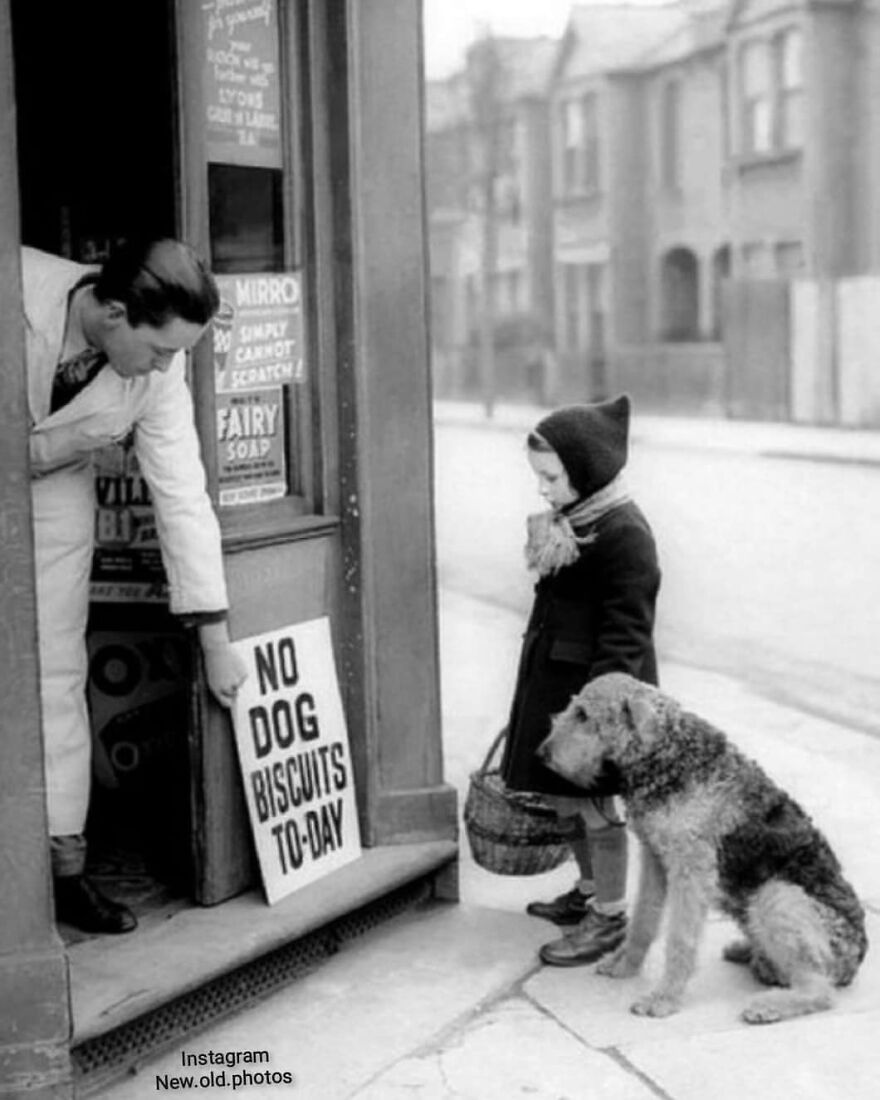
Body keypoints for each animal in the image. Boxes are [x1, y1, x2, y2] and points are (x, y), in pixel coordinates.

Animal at [536, 673, 866, 1025]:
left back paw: (768, 1005)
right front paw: (624, 964)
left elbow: (680, 938)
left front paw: (663, 999)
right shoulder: (654, 857)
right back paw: (747, 951)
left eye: (584, 715)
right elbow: (643, 919)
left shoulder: (690, 868)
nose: (541, 754)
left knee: (819, 989)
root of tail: (857, 959)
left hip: (779, 895)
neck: (669, 753)